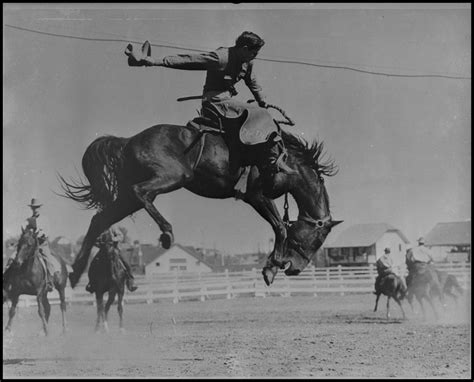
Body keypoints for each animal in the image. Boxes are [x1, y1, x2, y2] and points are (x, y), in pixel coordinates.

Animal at [60, 118, 340, 288]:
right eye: (317, 240)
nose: (295, 269)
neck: (286, 162)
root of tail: (127, 141)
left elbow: (280, 226)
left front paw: (273, 265)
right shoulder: (256, 196)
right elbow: (280, 227)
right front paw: (271, 268)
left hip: (130, 198)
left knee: (100, 218)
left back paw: (75, 272)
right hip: (173, 176)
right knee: (140, 193)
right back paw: (166, 233)